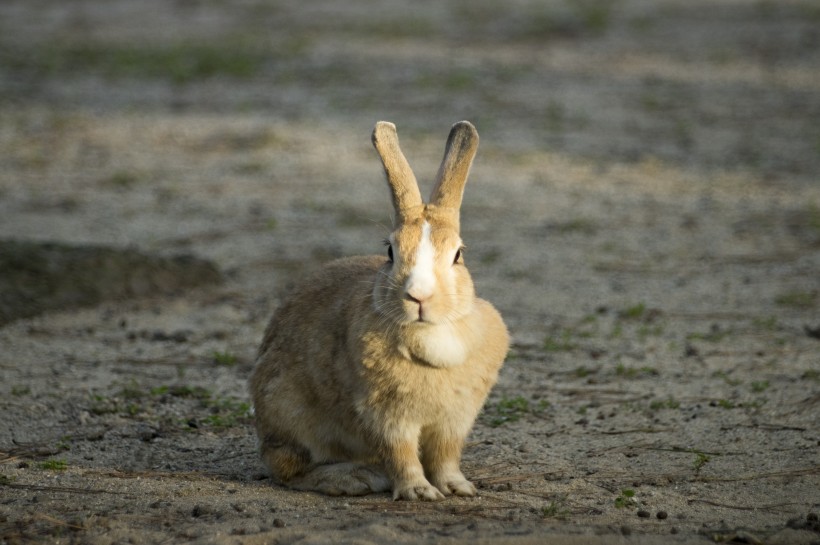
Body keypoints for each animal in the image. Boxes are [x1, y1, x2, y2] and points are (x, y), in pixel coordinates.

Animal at [247, 120, 510, 502]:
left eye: (458, 255)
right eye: (390, 252)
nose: (419, 296)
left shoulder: (454, 420)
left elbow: (446, 456)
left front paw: (458, 487)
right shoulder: (387, 416)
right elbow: (402, 455)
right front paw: (419, 491)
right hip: (289, 413)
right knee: (287, 467)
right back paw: (355, 478)